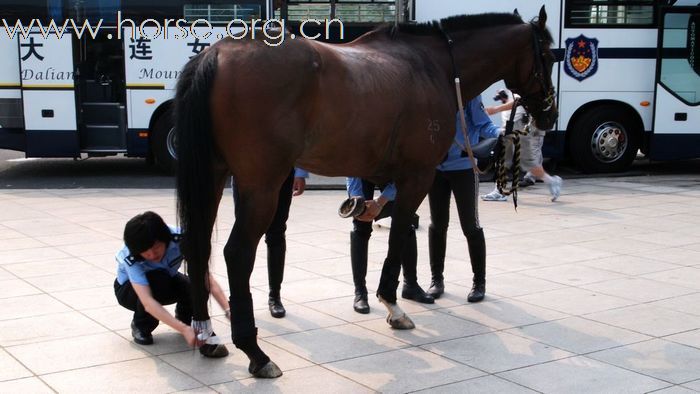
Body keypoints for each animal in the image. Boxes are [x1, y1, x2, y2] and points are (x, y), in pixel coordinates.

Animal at [174, 6, 556, 378]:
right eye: (550, 56)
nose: (548, 116)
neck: (435, 66)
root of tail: (217, 53)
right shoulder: (418, 176)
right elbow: (398, 235)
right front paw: (392, 304)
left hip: (212, 176)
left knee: (198, 245)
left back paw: (207, 336)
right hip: (261, 186)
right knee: (237, 253)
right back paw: (255, 352)